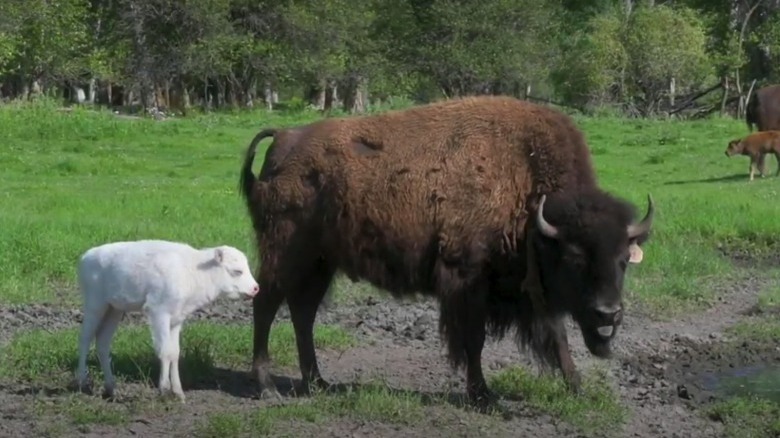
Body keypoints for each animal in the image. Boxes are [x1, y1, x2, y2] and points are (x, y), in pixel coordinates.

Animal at [73, 240, 258, 400]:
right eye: (237, 271)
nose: (256, 288)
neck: (193, 271)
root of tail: (85, 257)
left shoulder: (176, 319)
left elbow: (174, 352)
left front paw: (178, 392)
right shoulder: (159, 313)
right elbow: (164, 351)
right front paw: (164, 388)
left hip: (114, 310)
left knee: (102, 343)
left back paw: (111, 388)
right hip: (95, 305)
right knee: (85, 339)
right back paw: (82, 383)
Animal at [238, 95, 652, 408]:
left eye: (623, 261)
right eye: (574, 258)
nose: (608, 313)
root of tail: (283, 139)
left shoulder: (528, 292)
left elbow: (558, 337)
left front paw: (579, 389)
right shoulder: (466, 280)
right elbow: (474, 342)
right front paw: (483, 396)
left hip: (320, 264)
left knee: (302, 313)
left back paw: (317, 382)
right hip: (286, 254)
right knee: (266, 305)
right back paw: (267, 386)